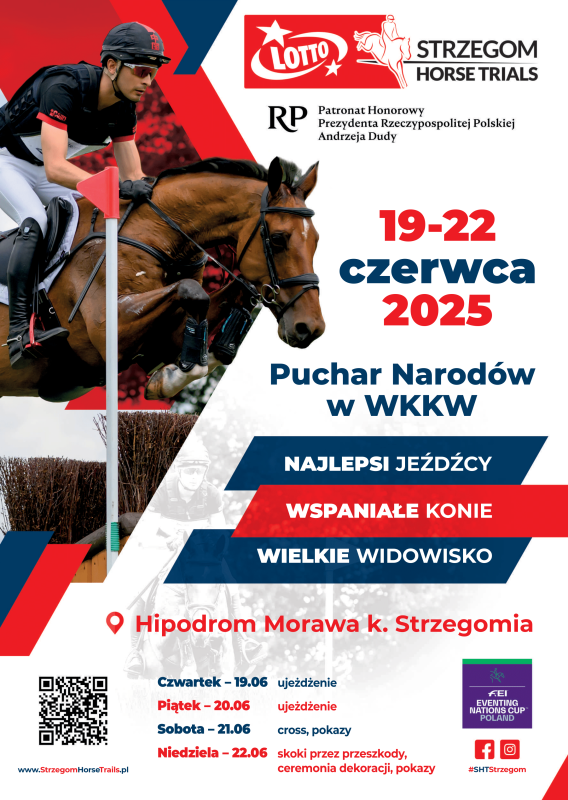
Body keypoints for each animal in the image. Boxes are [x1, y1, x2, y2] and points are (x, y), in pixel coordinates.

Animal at [0, 157, 324, 402]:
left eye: (316, 241)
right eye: (279, 239)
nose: (310, 328)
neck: (157, 232)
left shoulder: (165, 336)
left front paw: (167, 377)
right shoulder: (109, 330)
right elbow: (193, 292)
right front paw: (169, 377)